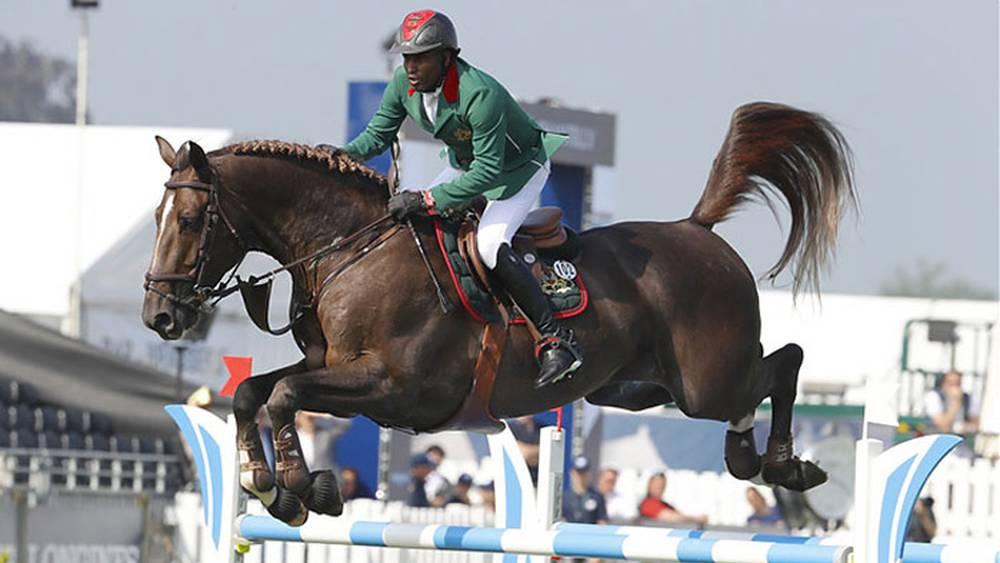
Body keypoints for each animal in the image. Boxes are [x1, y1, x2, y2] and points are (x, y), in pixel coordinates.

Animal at [142, 102, 856, 525]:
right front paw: (267, 484)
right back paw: (748, 455)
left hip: (705, 378)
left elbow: (284, 395)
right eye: (155, 216)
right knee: (753, 385)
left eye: (189, 219)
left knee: (784, 363)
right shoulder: (333, 369)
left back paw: (785, 464)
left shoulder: (394, 388)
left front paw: (300, 486)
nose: (159, 318)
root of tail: (696, 229)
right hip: (637, 387)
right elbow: (253, 393)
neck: (350, 249)